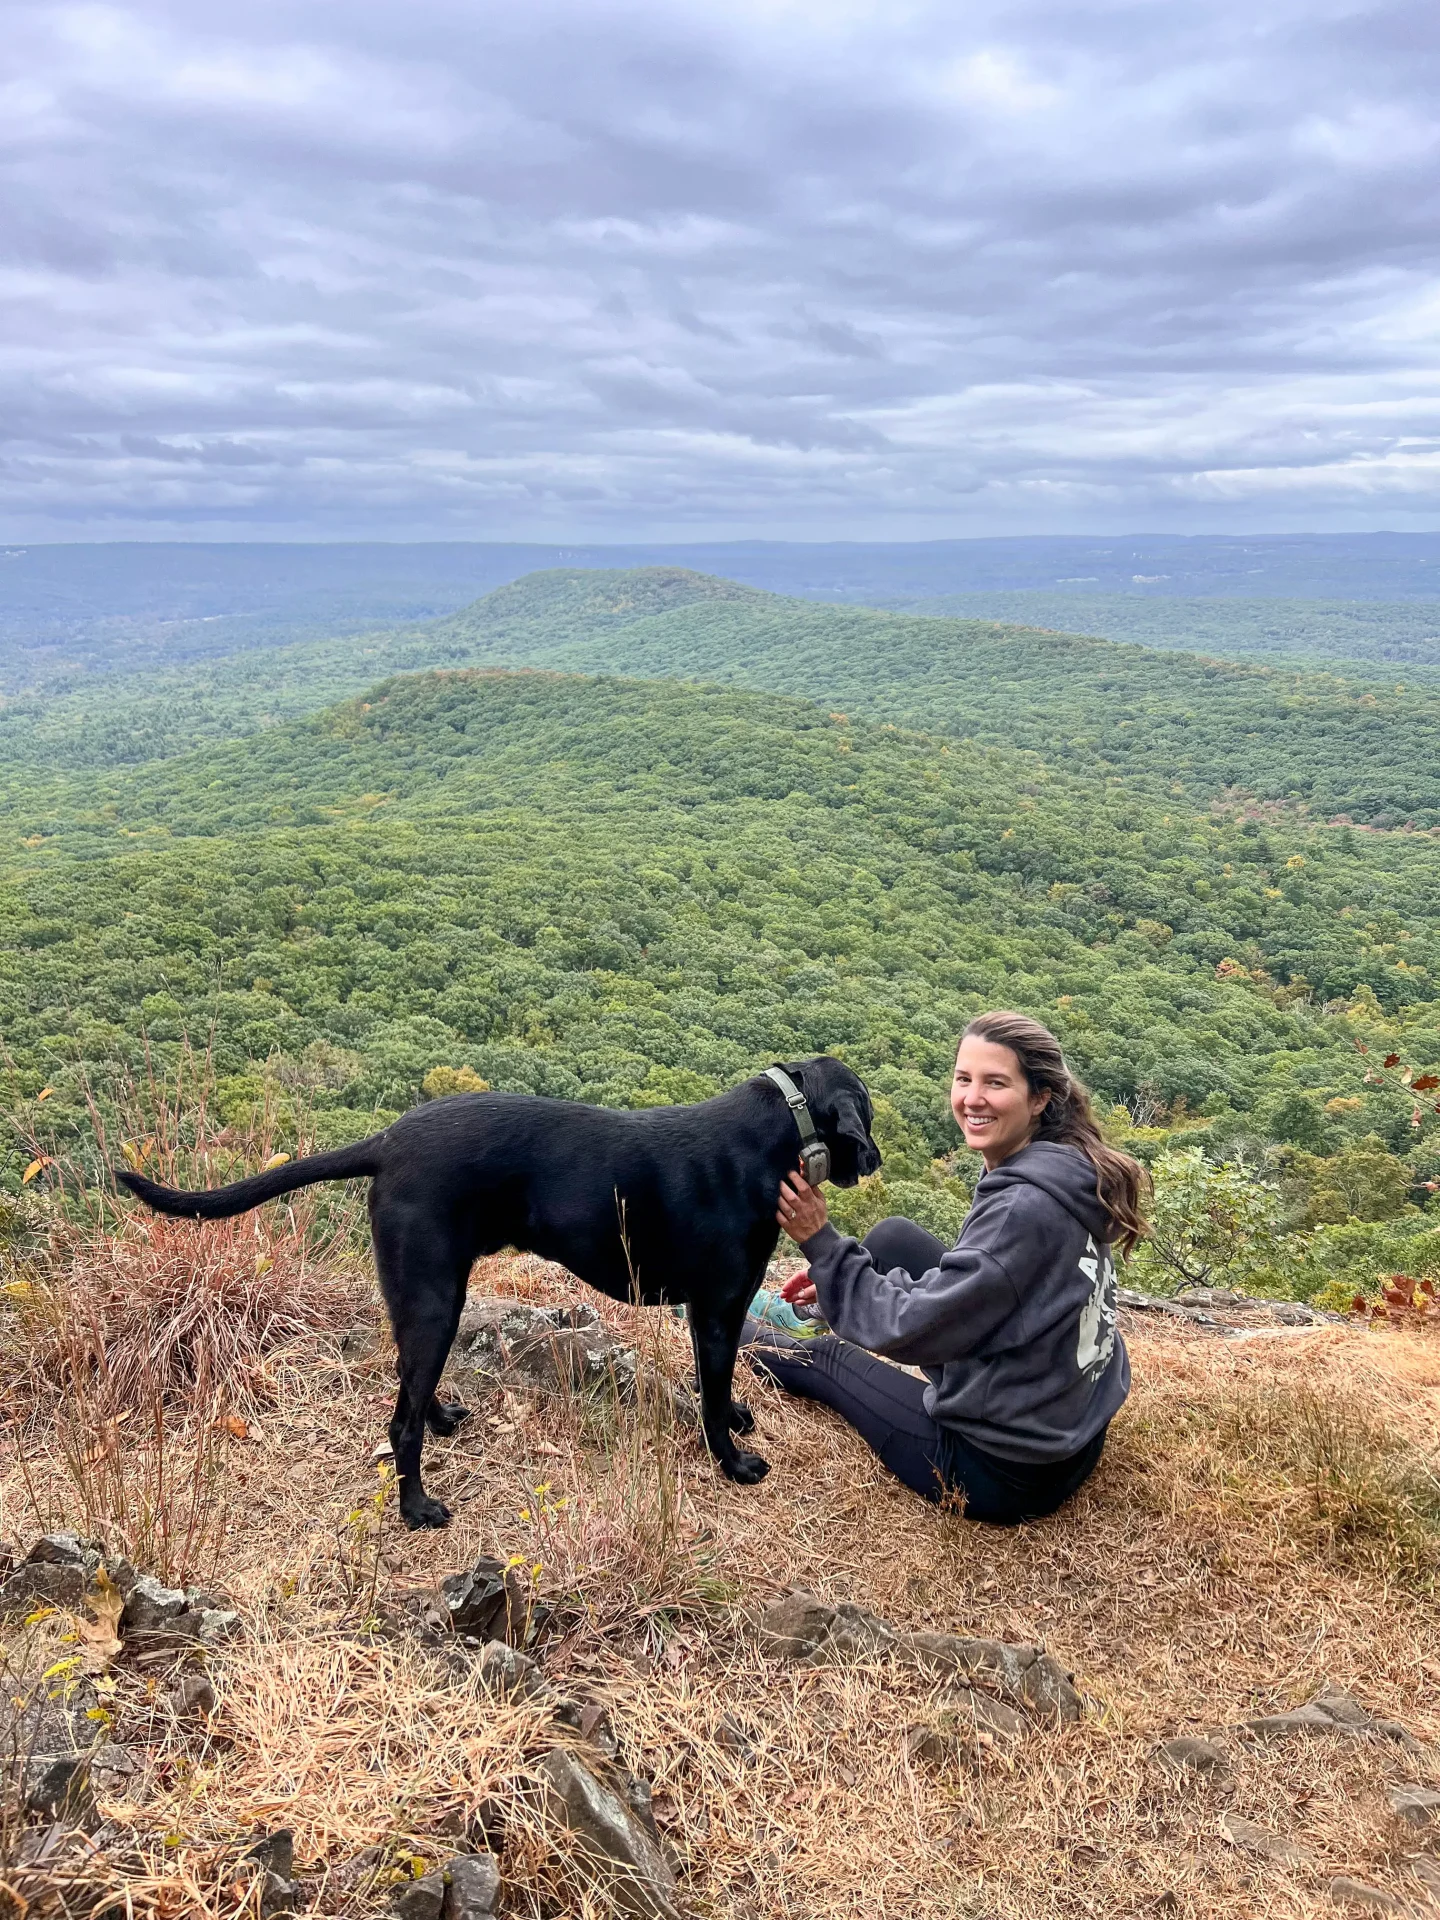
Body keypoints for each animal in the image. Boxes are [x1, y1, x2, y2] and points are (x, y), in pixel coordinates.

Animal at [115, 1059, 879, 1520]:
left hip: (423, 1297)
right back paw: (417, 1507)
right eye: (867, 1112)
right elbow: (713, 1397)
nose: (871, 1160)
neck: (778, 1127)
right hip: (436, 1299)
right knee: (398, 1421)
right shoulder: (718, 1308)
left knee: (409, 1385)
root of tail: (387, 1141)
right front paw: (733, 1461)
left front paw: (739, 1418)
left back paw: (442, 1417)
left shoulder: (708, 1312)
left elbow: (714, 1388)